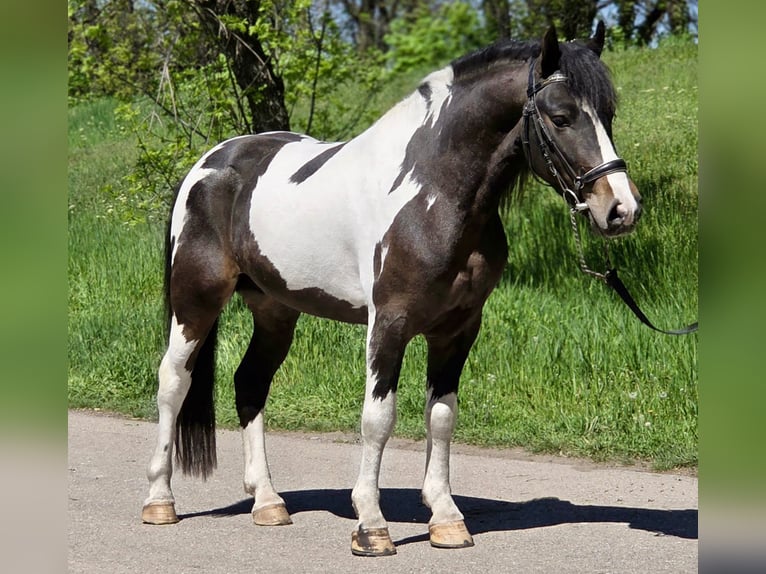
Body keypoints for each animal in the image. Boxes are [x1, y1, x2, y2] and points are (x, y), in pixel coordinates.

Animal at [141, 22, 642, 556]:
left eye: (609, 115)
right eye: (562, 117)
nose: (621, 209)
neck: (432, 194)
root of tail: (208, 163)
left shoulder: (459, 328)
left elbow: (441, 415)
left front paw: (446, 518)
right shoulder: (390, 322)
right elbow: (378, 418)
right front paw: (371, 525)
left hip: (275, 311)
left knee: (250, 383)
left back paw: (268, 503)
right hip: (194, 301)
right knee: (173, 382)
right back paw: (160, 500)